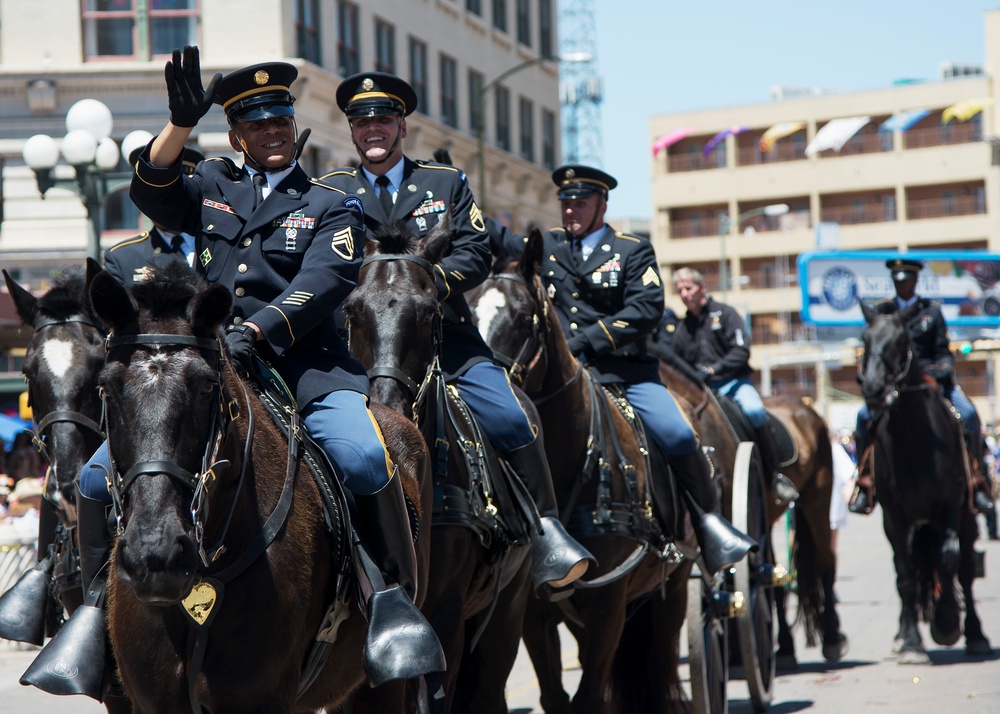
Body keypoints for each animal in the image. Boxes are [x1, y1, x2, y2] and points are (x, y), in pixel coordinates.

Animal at [466, 231, 696, 708]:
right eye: (469, 309)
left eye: (523, 318)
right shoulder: (536, 611)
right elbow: (557, 697)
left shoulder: (608, 598)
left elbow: (590, 696)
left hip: (675, 589)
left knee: (663, 668)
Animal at [860, 300, 992, 660]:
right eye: (865, 339)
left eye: (900, 340)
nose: (872, 387)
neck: (914, 439)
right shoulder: (893, 517)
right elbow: (904, 576)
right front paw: (911, 642)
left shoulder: (950, 506)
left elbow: (949, 560)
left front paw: (946, 623)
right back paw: (902, 632)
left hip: (965, 516)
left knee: (964, 568)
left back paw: (975, 633)